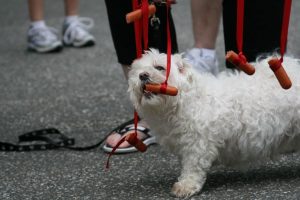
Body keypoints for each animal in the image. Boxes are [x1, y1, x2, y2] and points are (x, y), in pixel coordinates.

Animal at [127, 49, 300, 198]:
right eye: (137, 71)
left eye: (160, 67)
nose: (142, 75)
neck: (185, 100)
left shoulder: (197, 144)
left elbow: (193, 167)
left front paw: (186, 186)